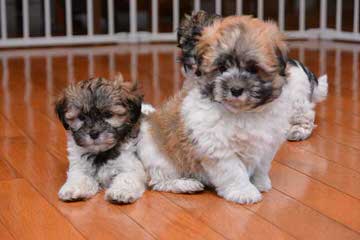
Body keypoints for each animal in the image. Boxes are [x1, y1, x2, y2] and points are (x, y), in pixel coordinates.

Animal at [136, 12, 328, 204]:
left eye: (253, 69)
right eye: (221, 68)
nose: (236, 89)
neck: (242, 112)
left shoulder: (266, 143)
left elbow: (261, 165)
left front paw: (260, 183)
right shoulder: (218, 148)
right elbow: (233, 171)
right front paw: (244, 192)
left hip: (297, 100)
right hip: (159, 157)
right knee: (159, 179)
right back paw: (185, 184)